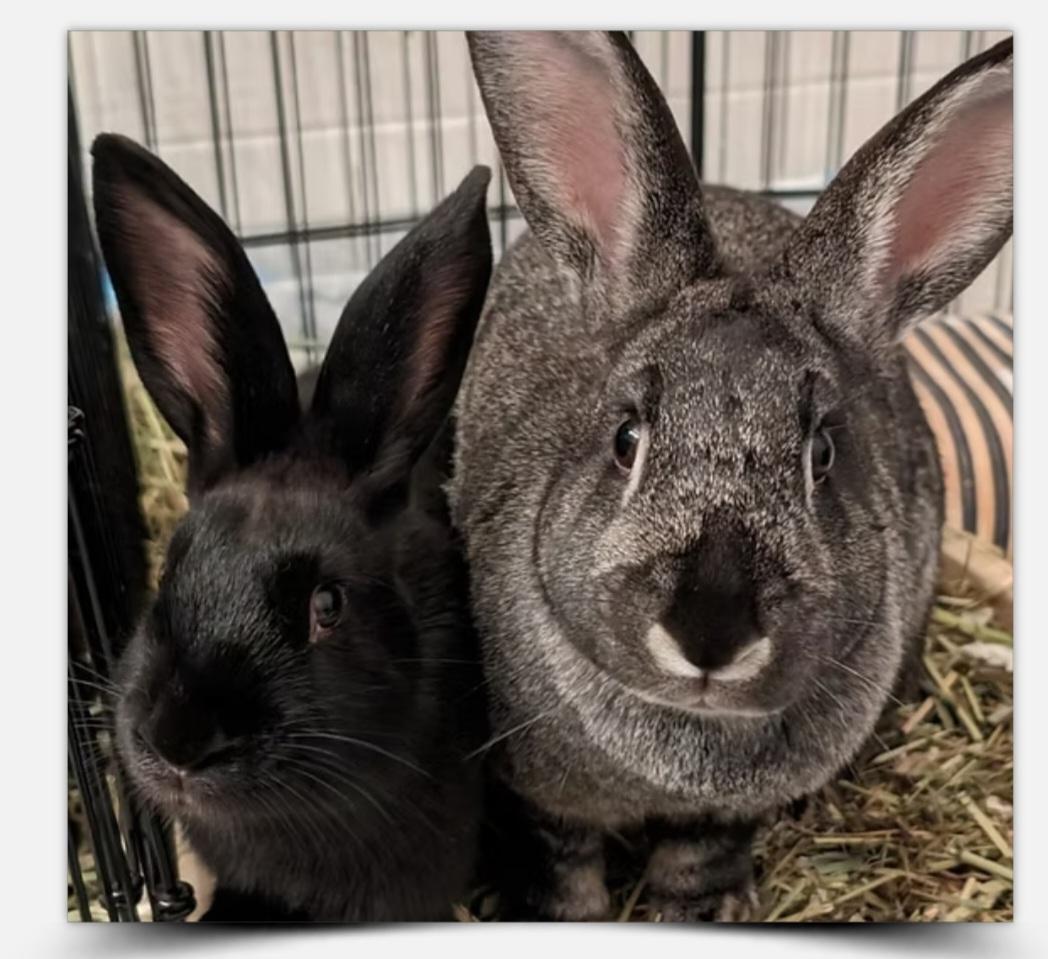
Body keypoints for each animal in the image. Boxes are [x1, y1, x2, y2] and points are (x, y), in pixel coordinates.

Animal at [450, 33, 1013, 921]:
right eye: (626, 437)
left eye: (823, 454)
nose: (710, 631)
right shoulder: (539, 792)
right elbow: (560, 857)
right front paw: (561, 915)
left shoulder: (723, 813)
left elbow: (700, 853)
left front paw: (704, 913)